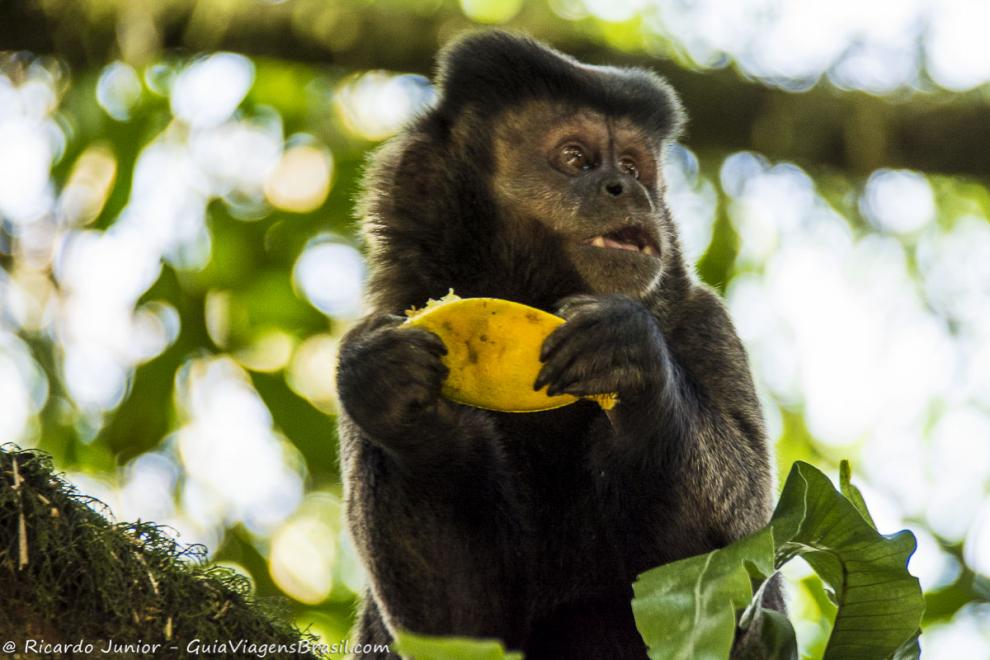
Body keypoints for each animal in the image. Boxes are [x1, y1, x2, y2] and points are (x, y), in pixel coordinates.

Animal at [338, 31, 788, 660]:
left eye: (633, 165)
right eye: (575, 157)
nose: (628, 188)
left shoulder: (705, 322)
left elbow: (739, 561)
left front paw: (633, 363)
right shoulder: (388, 316)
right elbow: (456, 625)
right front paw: (394, 396)